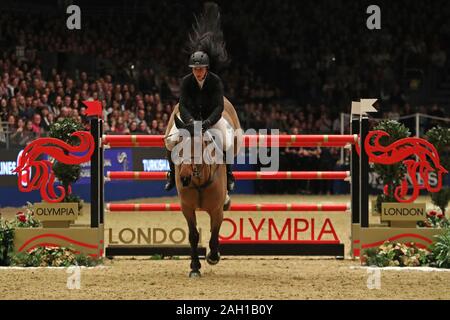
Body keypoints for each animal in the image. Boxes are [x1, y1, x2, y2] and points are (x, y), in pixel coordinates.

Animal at [165, 98, 243, 278]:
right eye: (179, 144)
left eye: (201, 145)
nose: (184, 176)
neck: (199, 179)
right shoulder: (187, 208)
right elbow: (193, 235)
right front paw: (195, 267)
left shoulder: (216, 210)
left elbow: (214, 233)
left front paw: (213, 257)